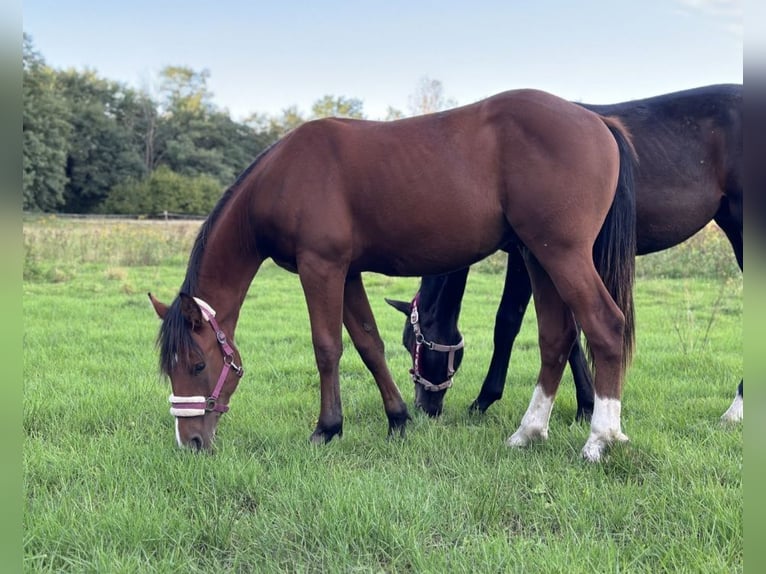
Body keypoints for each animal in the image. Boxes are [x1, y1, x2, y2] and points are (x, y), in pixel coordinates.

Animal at [148, 89, 636, 464]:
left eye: (197, 364)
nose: (191, 443)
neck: (283, 178)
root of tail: (597, 120)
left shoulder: (321, 267)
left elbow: (327, 347)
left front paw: (327, 428)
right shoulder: (346, 273)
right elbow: (369, 344)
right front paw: (399, 419)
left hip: (564, 255)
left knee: (605, 326)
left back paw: (600, 440)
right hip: (536, 257)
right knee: (556, 338)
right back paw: (529, 433)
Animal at [390, 84, 744, 428]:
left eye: (412, 342)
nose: (424, 407)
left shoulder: (527, 256)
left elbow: (507, 322)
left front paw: (484, 400)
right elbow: (570, 333)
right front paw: (585, 404)